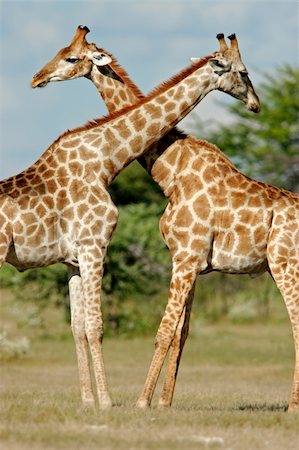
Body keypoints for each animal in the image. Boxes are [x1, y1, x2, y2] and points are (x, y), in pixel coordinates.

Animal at [31, 25, 299, 412]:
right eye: (61, 52)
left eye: (70, 58)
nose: (37, 78)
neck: (171, 170)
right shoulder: (192, 261)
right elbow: (180, 333)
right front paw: (164, 403)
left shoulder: (185, 256)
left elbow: (163, 331)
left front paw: (143, 402)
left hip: (284, 264)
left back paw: (292, 405)